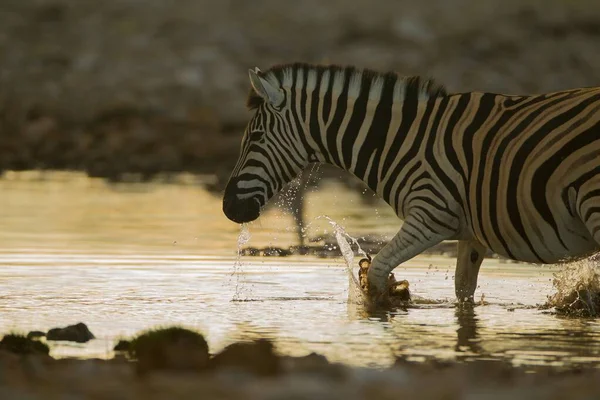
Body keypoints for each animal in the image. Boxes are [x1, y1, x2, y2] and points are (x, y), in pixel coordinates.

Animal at [223, 63, 600, 304]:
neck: (402, 140)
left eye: (255, 138)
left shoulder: (431, 215)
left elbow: (377, 271)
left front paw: (384, 303)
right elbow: (463, 292)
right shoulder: (471, 233)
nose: (228, 208)